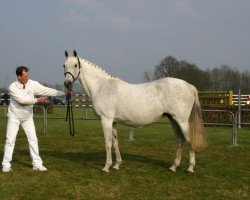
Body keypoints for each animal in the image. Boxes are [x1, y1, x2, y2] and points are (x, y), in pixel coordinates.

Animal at [63, 50, 206, 173]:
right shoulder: (113, 122)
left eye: (75, 65)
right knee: (180, 140)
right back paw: (173, 166)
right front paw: (117, 164)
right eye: (64, 65)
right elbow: (115, 142)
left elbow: (107, 143)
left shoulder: (106, 120)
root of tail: (189, 86)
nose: (67, 84)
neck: (102, 86)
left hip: (182, 121)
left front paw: (106, 167)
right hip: (173, 119)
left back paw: (190, 168)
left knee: (189, 140)